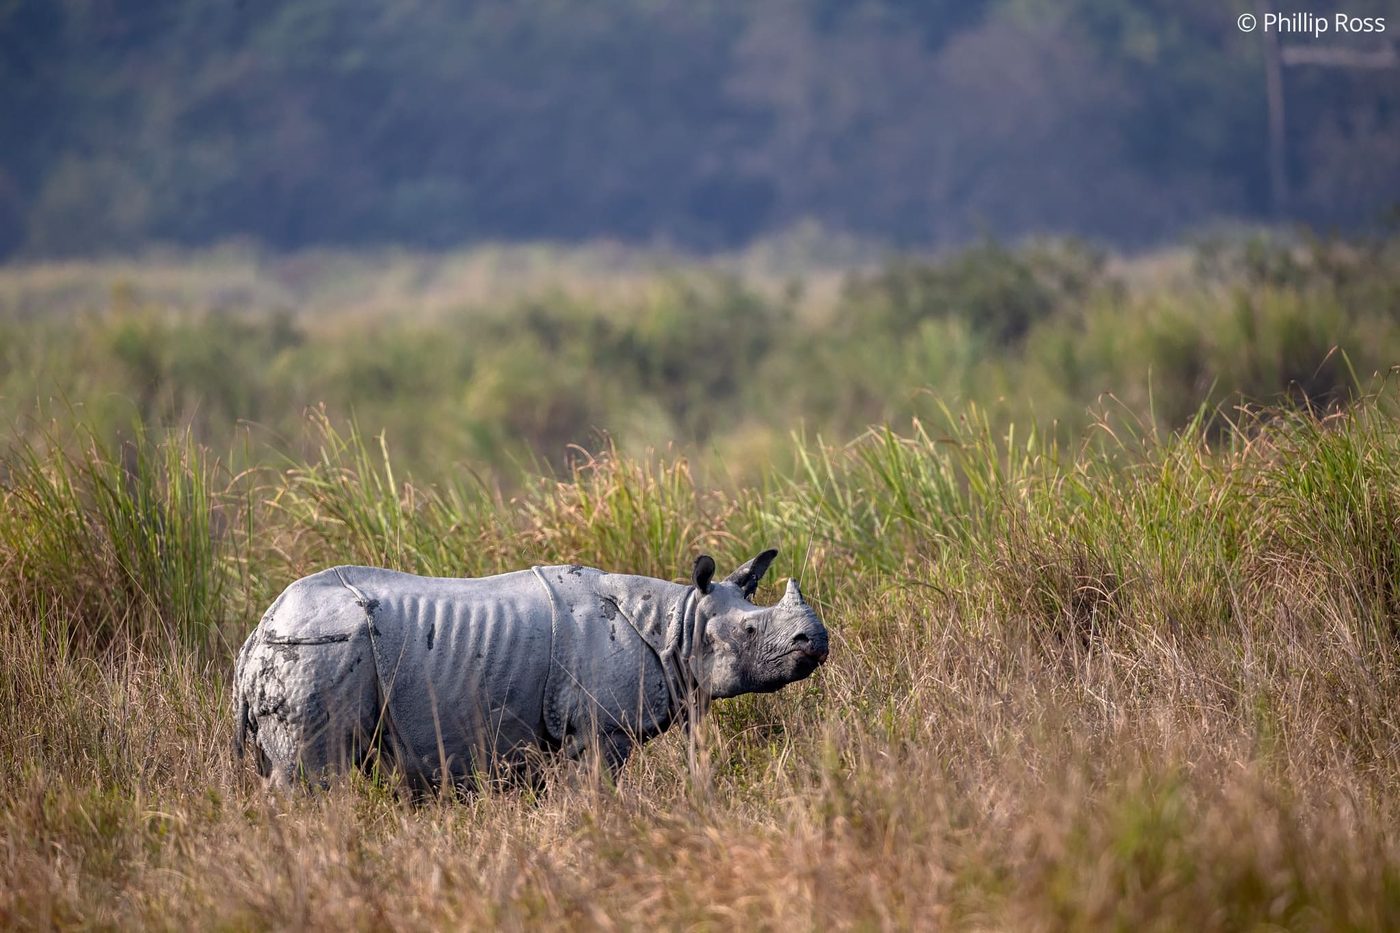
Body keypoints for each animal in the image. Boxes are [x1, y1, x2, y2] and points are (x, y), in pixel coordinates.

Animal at [233, 549, 828, 789]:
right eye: (749, 633)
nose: (817, 641)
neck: (678, 623)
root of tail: (255, 635)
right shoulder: (599, 729)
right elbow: (595, 787)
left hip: (302, 647)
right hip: (315, 649)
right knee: (314, 775)